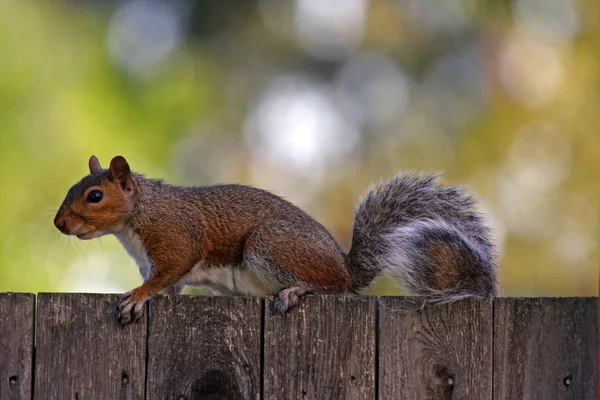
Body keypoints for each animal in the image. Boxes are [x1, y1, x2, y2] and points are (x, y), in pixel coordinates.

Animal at [55, 155, 496, 324]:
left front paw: (137, 296)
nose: (59, 224)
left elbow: (167, 273)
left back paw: (298, 290)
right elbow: (170, 285)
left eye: (95, 196)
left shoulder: (175, 238)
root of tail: (345, 265)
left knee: (335, 287)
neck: (141, 211)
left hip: (270, 245)